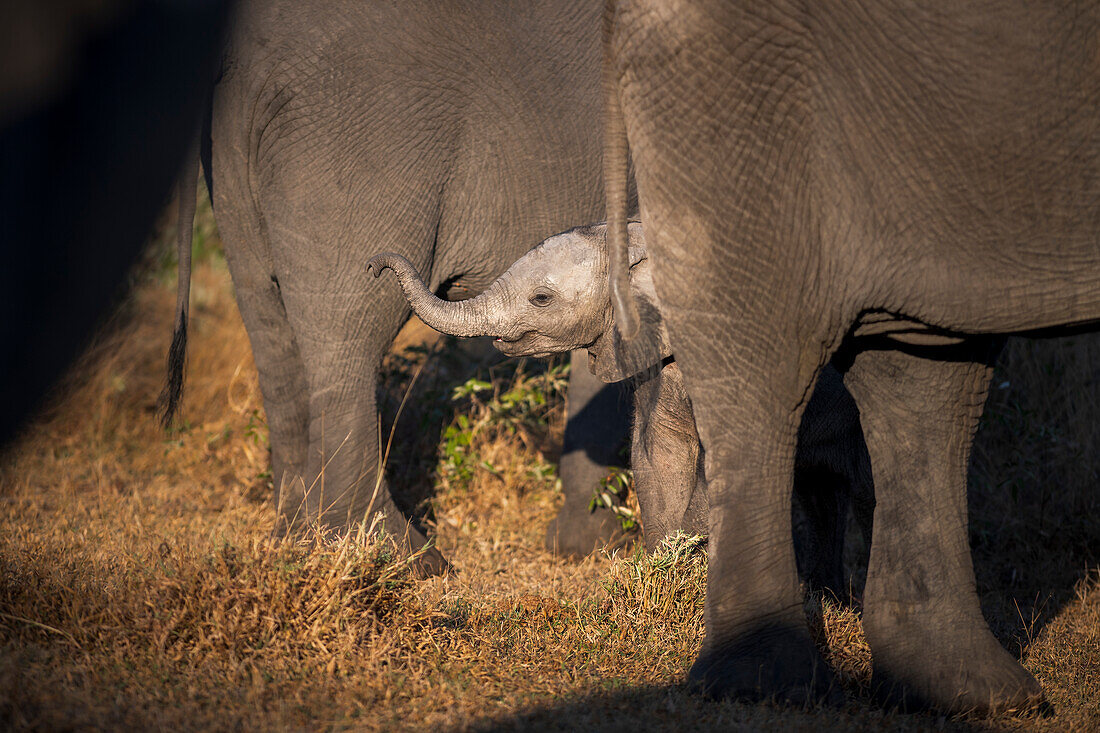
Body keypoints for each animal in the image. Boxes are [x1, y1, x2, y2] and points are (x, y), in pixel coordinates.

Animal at [160, 0, 638, 572]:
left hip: (240, 158)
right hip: (357, 140)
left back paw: (293, 543)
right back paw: (397, 559)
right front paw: (606, 546)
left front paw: (589, 545)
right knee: (348, 336)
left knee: (269, 323)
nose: (377, 263)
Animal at [371, 224, 875, 594]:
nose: (375, 264)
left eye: (541, 298)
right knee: (821, 494)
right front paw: (665, 576)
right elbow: (659, 453)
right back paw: (827, 597)